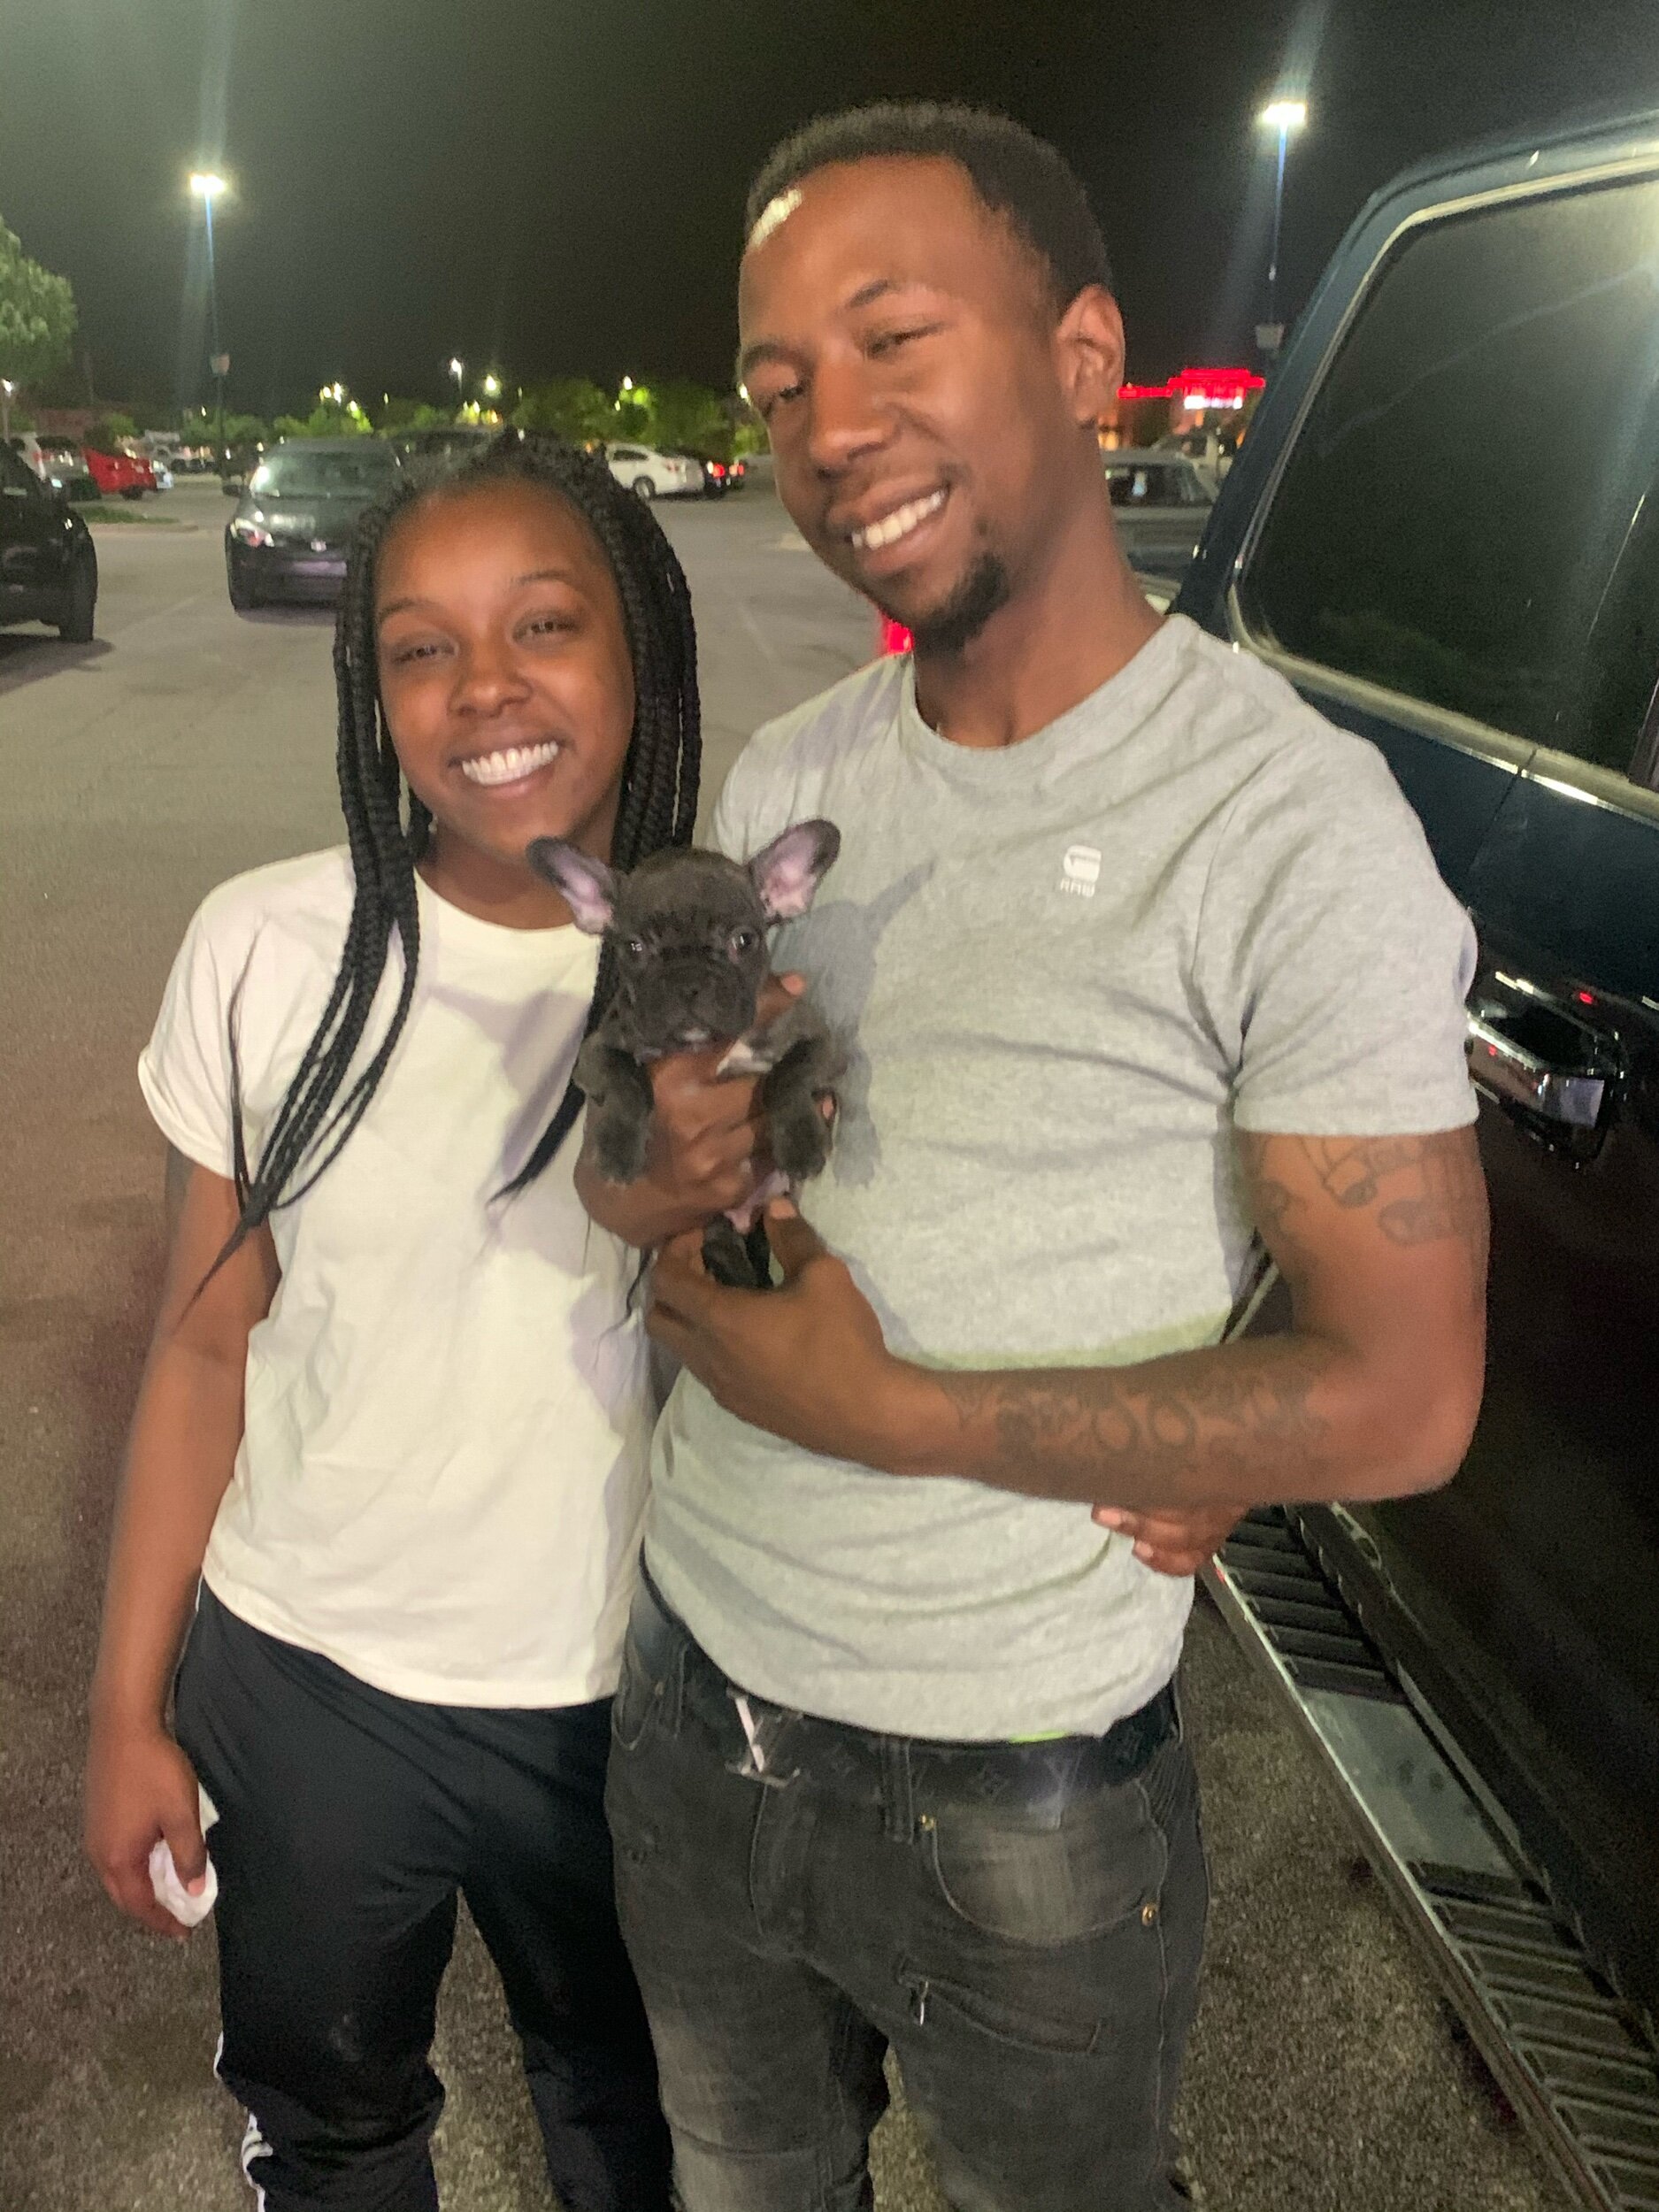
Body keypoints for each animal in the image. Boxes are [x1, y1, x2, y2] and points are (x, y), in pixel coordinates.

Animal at [526, 820, 842, 1286]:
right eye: (634, 948)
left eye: (744, 940)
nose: (688, 980)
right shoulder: (594, 1054)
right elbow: (626, 1079)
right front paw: (618, 1147)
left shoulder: (819, 1039)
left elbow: (789, 1076)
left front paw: (801, 1141)